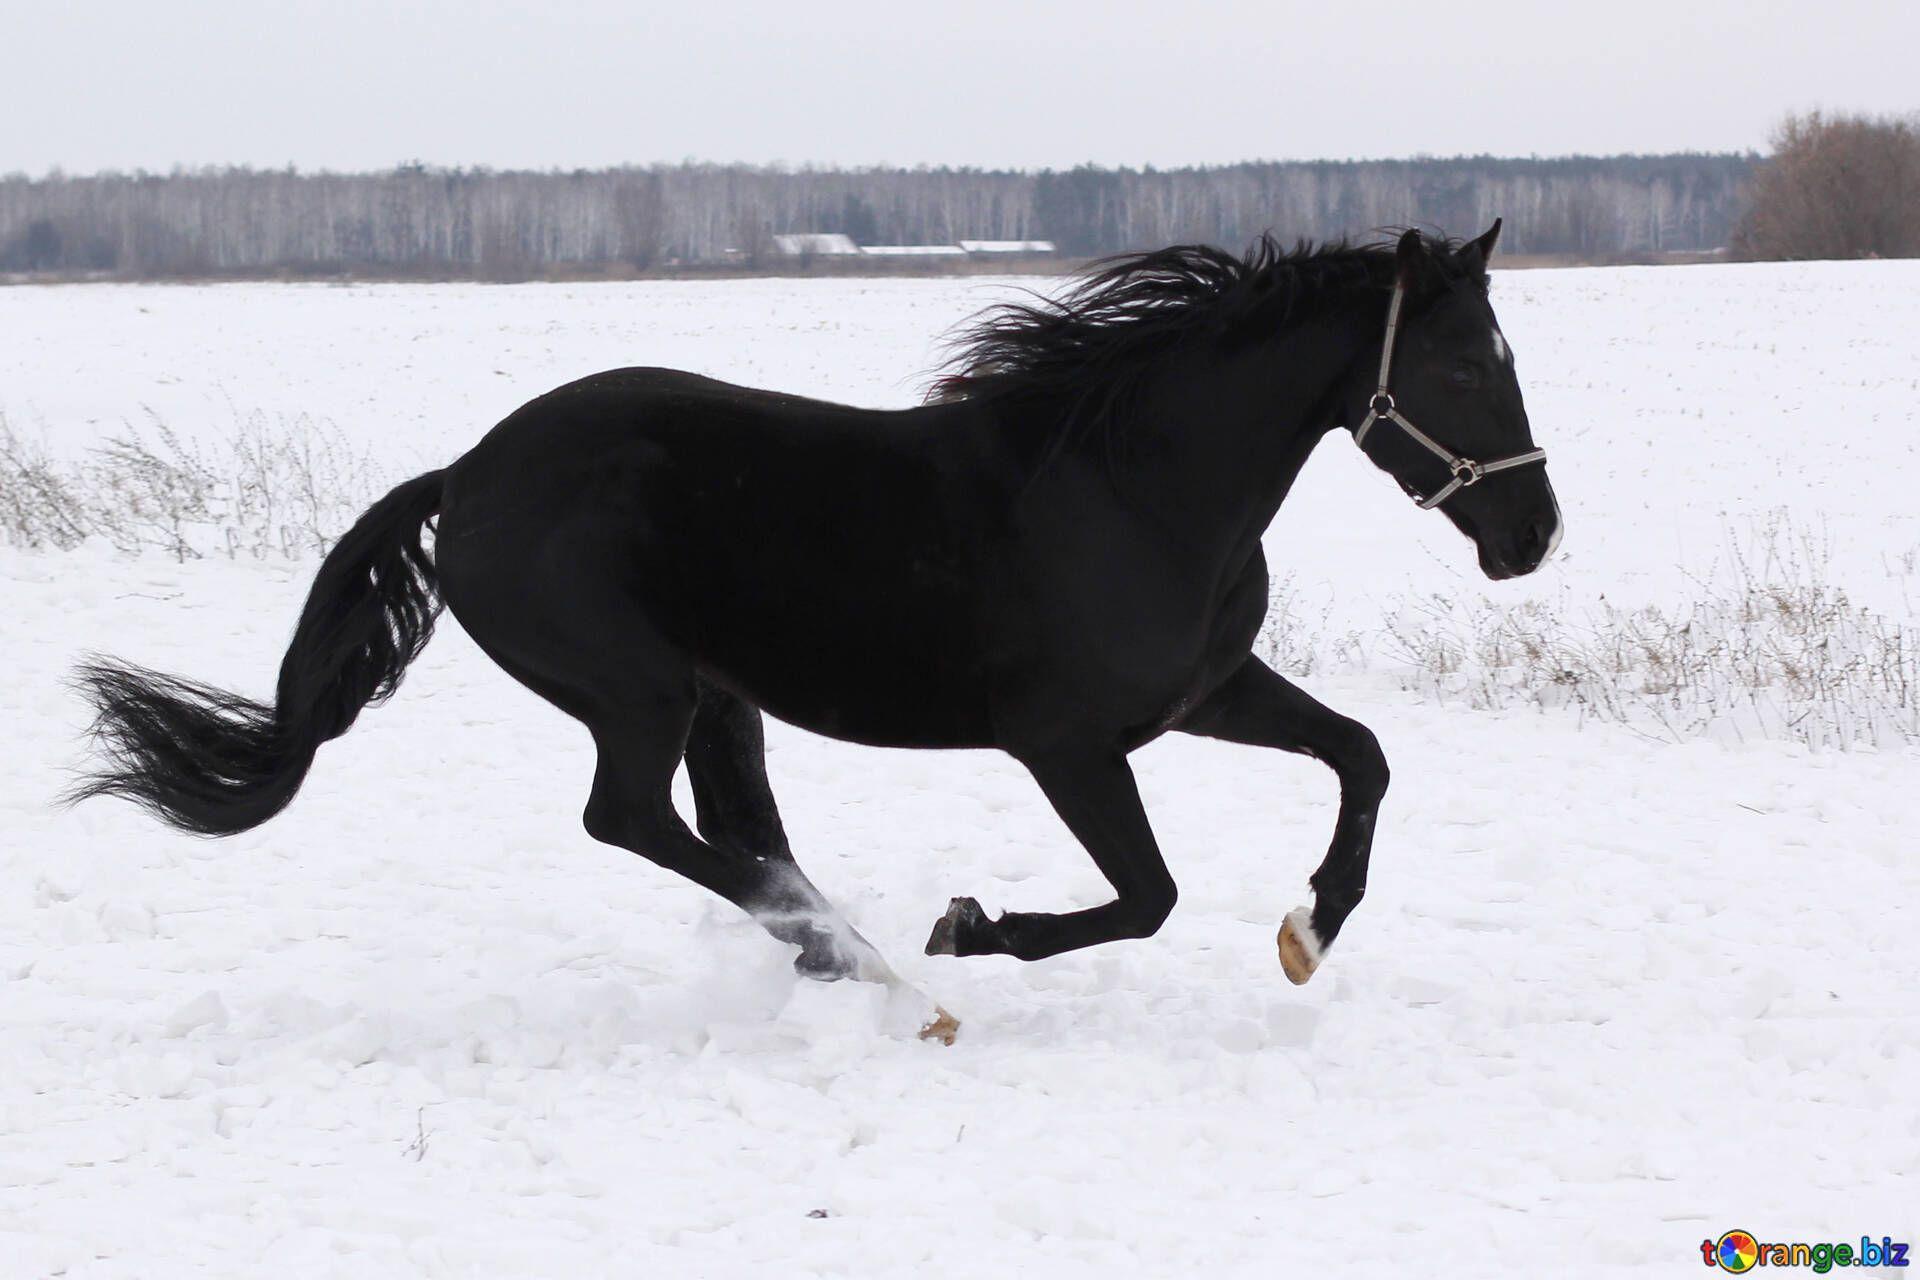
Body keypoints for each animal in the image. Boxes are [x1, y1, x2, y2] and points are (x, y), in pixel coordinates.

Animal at [70, 222, 1559, 1041]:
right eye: (1463, 361)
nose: (1532, 533)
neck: (1131, 485)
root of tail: (466, 476)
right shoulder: (1069, 743)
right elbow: (1147, 894)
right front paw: (967, 926)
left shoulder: (1205, 691)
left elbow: (1360, 754)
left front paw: (1314, 927)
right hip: (638, 688)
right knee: (638, 820)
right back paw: (888, 970)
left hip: (714, 694)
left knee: (732, 830)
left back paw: (840, 954)